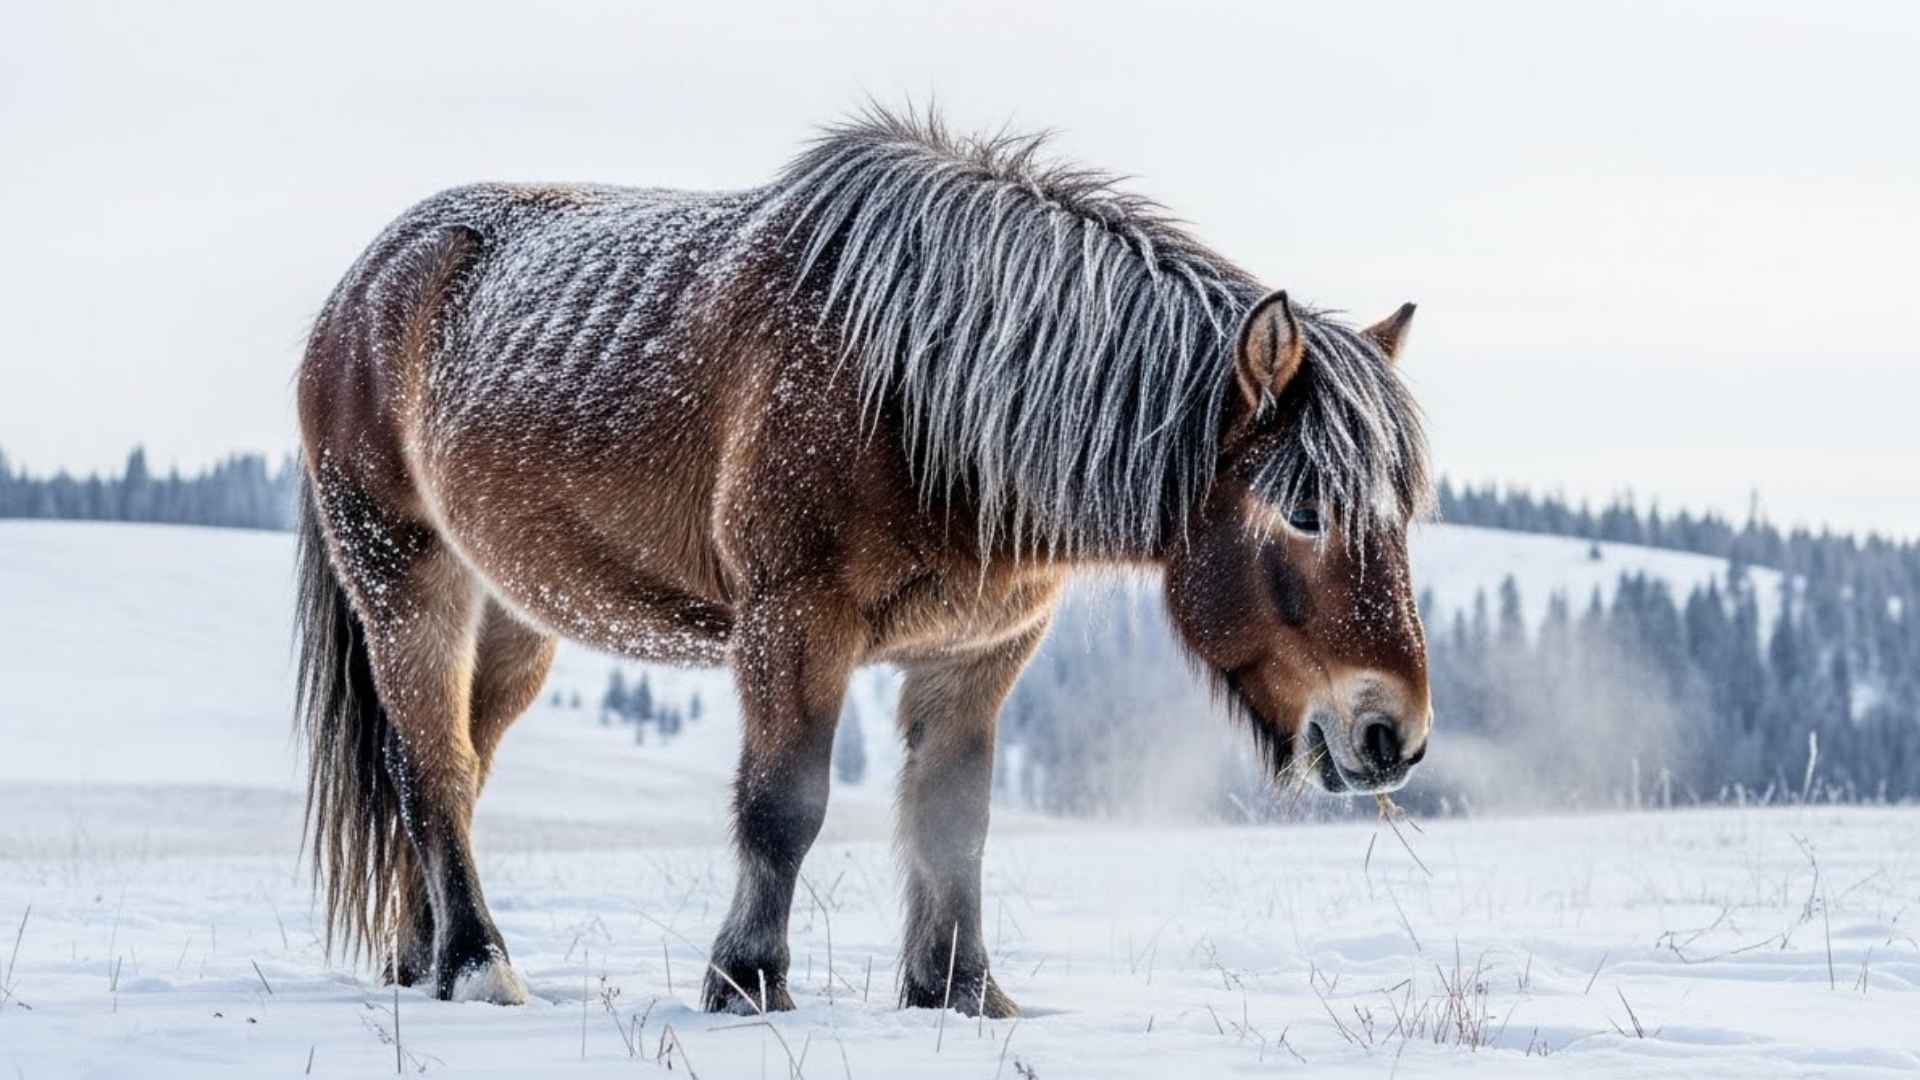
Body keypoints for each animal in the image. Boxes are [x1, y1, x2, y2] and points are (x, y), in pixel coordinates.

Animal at [293, 109, 1435, 1017]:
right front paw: (747, 983)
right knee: (433, 769)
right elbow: (784, 804)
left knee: (451, 769)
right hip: (408, 582)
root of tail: (362, 284)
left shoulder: (980, 654)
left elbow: (954, 823)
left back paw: (423, 962)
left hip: (516, 618)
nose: (1395, 736)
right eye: (1305, 511)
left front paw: (962, 995)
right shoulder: (796, 622)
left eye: (1404, 511)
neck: (927, 396)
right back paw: (480, 965)